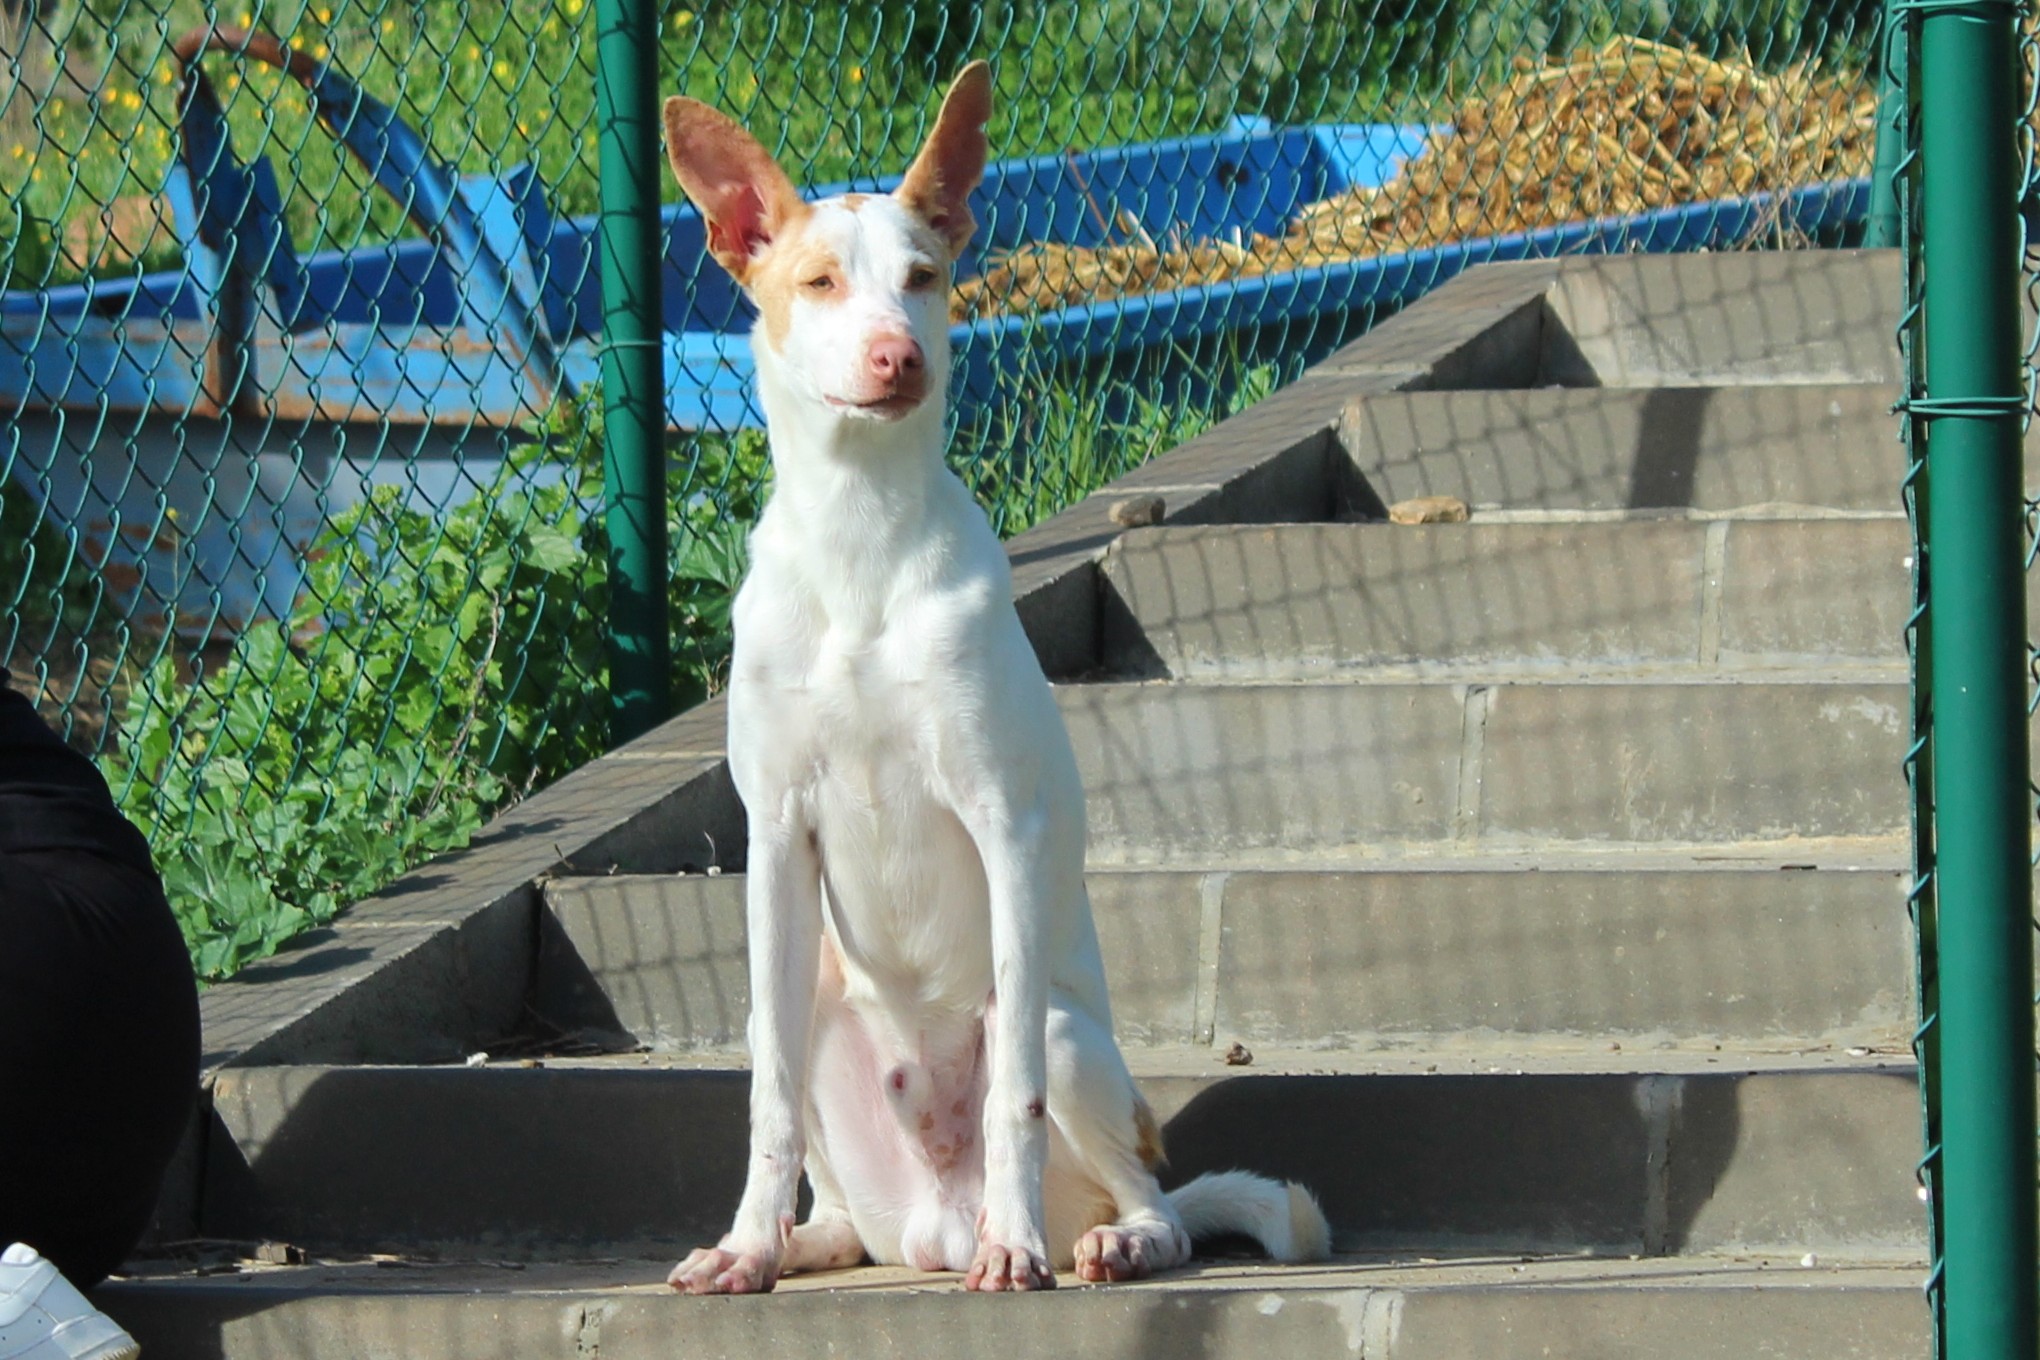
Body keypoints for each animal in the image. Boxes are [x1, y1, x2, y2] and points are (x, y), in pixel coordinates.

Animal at [660, 66, 1330, 1296]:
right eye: (819, 282)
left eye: (923, 278)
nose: (898, 356)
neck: (862, 544)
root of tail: (936, 1215)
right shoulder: (776, 838)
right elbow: (766, 1104)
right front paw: (744, 1244)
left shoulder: (1001, 823)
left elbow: (1012, 1087)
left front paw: (1014, 1250)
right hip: (808, 996)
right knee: (832, 1181)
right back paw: (799, 1241)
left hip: (1075, 1044)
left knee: (1145, 1186)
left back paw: (1095, 1237)